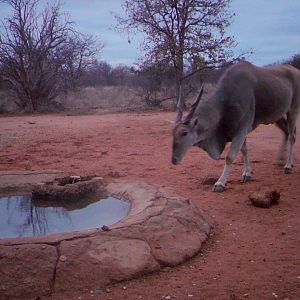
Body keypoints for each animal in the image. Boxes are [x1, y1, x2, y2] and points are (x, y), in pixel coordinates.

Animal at [171, 61, 300, 192]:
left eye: (184, 133)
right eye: (173, 133)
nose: (174, 160)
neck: (227, 98)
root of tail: (296, 71)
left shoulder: (241, 130)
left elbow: (230, 156)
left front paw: (220, 183)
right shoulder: (239, 130)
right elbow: (244, 149)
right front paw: (247, 173)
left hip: (293, 110)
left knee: (292, 136)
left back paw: (288, 166)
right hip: (278, 115)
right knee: (286, 132)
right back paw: (280, 160)